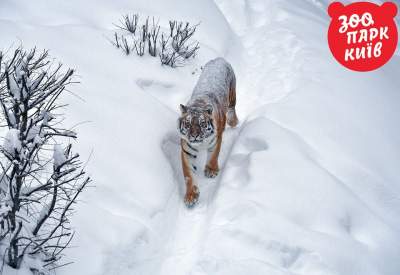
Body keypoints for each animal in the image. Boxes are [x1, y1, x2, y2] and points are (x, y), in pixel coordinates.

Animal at [177, 58, 238, 209]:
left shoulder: (215, 141)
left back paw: (233, 121)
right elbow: (188, 175)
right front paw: (191, 196)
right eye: (188, 124)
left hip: (232, 93)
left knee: (232, 108)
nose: (194, 136)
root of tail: (219, 59)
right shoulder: (187, 151)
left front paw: (211, 171)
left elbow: (213, 156)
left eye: (202, 123)